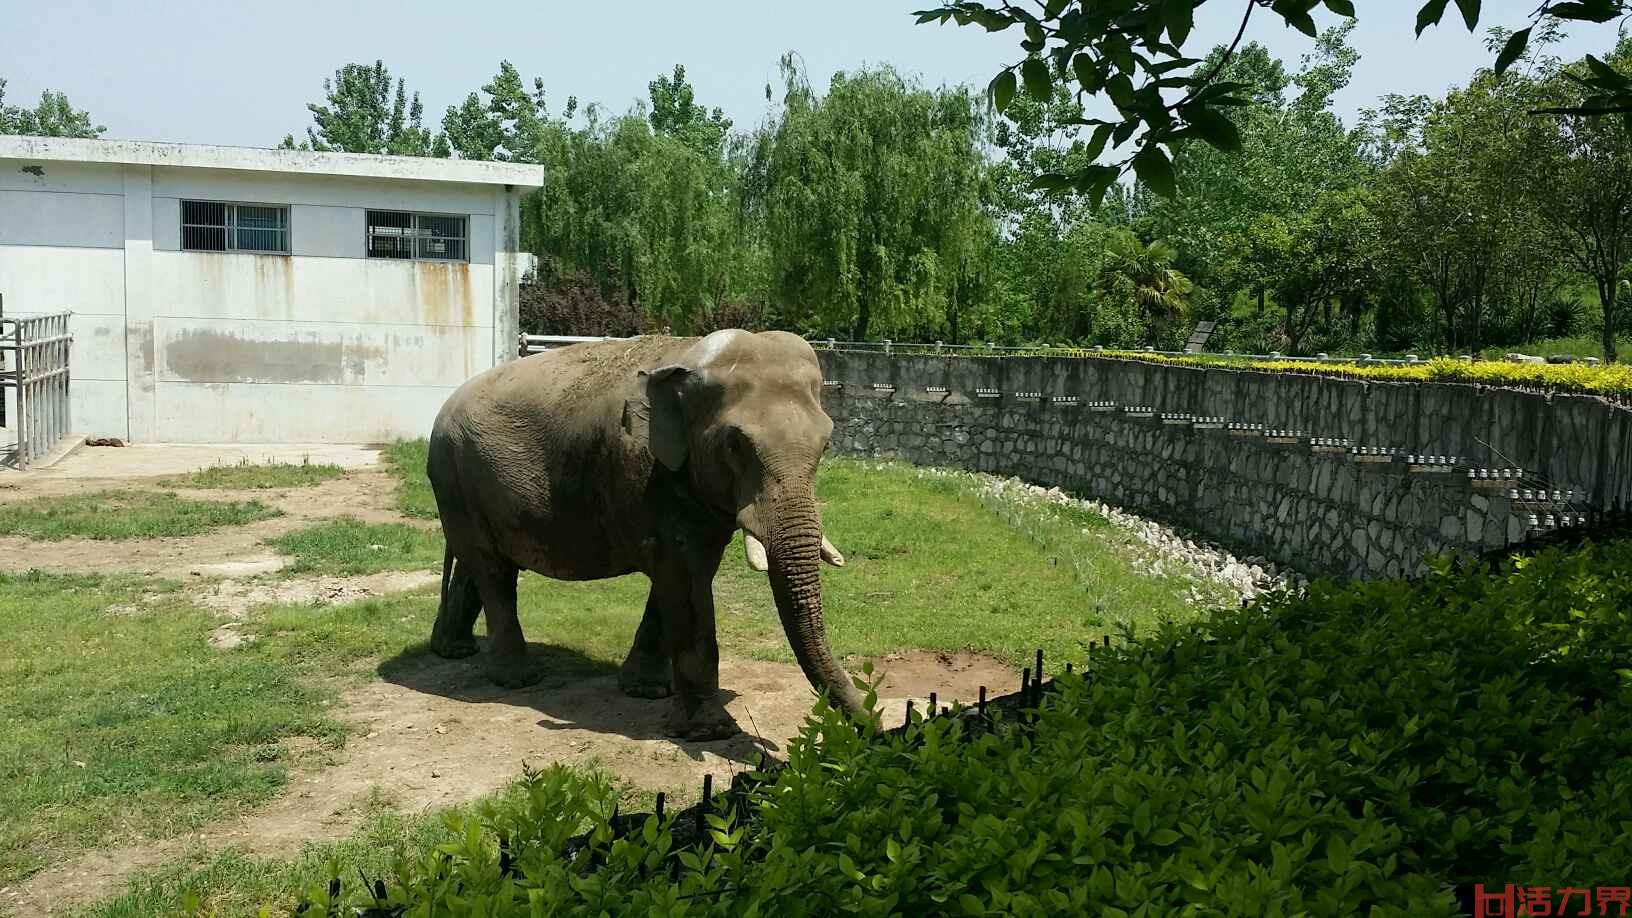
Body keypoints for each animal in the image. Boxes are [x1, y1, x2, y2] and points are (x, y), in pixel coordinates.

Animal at [427, 328, 874, 735]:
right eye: (734, 445)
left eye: (826, 446)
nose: (876, 725)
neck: (689, 355)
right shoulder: (648, 472)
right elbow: (684, 577)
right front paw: (709, 731)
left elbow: (687, 572)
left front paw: (645, 691)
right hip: (452, 473)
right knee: (492, 570)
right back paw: (517, 678)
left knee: (477, 564)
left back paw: (453, 651)